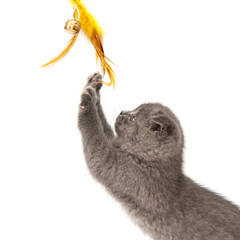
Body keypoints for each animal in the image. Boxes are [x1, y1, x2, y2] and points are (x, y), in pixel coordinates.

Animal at [78, 73, 239, 240]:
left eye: (133, 119)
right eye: (132, 109)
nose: (123, 112)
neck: (150, 162)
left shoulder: (119, 168)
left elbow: (95, 141)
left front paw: (87, 101)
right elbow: (105, 130)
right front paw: (94, 86)